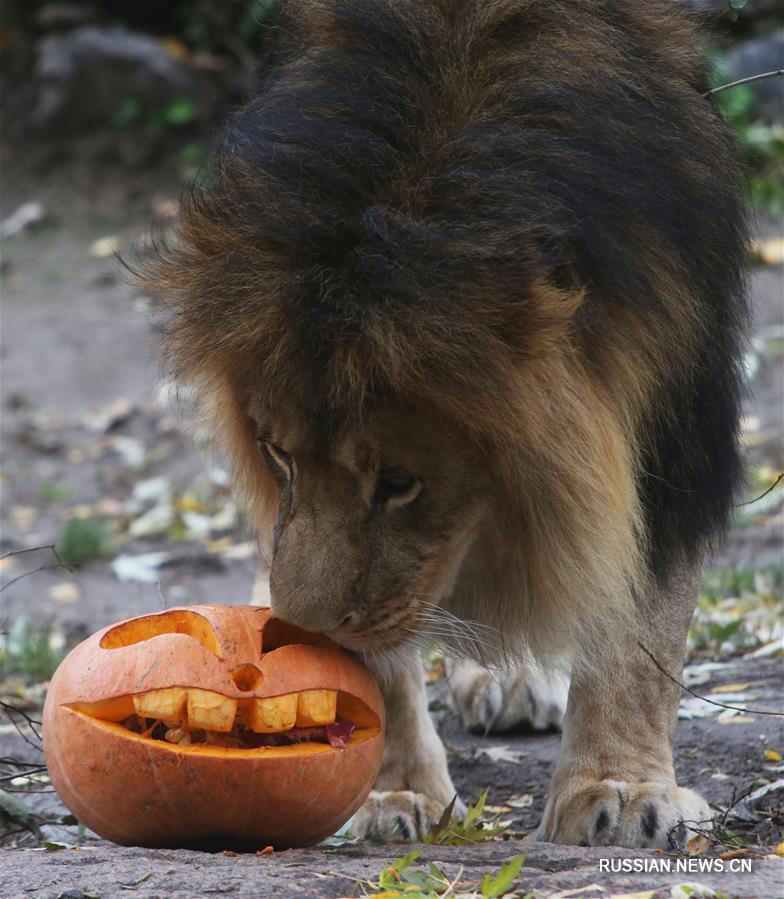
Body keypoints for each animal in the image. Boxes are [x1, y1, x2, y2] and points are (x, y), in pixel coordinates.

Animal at [139, 0, 748, 852]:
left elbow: (640, 629)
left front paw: (621, 789)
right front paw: (383, 792)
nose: (304, 632)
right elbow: (378, 657)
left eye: (399, 483)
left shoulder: (673, 413)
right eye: (276, 453)